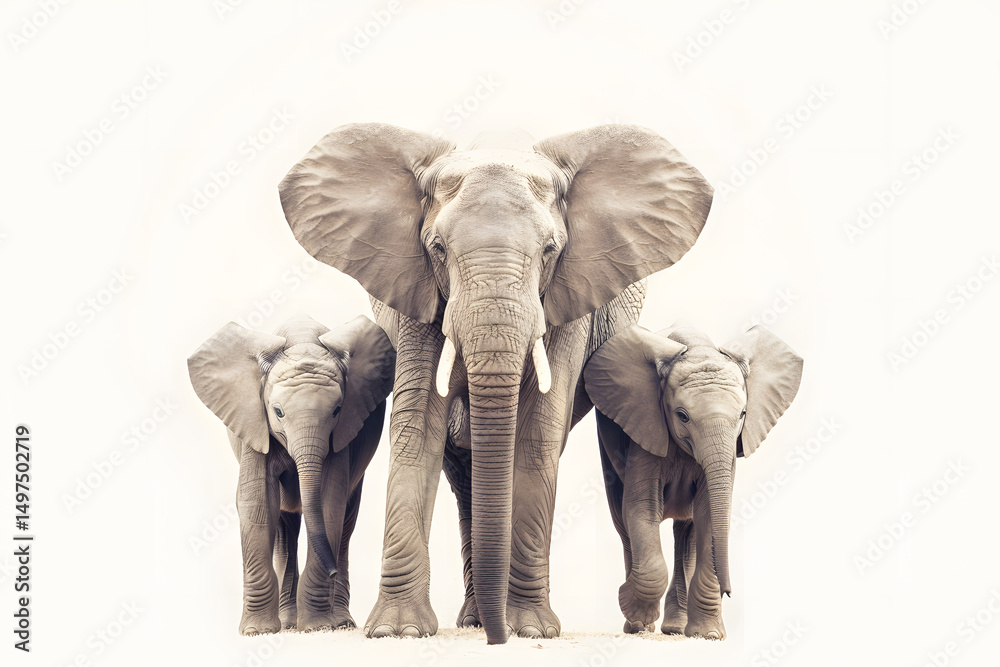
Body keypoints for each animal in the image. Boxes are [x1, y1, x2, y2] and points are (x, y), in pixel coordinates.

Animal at [187, 314, 395, 635]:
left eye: (337, 410)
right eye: (278, 412)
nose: (331, 571)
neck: (302, 340)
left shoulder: (341, 437)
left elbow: (328, 504)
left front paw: (318, 628)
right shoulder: (254, 425)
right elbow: (258, 505)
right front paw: (258, 632)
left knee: (345, 526)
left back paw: (339, 623)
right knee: (284, 527)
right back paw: (287, 624)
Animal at [278, 123, 714, 643]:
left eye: (550, 250)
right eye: (437, 248)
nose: (497, 638)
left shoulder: (569, 298)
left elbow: (537, 435)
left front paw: (531, 630)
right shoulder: (416, 292)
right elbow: (417, 428)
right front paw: (398, 631)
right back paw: (473, 618)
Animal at [582, 324, 803, 639]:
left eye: (742, 414)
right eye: (682, 416)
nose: (729, 592)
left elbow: (709, 515)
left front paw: (708, 635)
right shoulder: (646, 430)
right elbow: (642, 508)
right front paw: (636, 614)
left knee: (687, 532)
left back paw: (676, 628)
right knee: (623, 524)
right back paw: (637, 626)